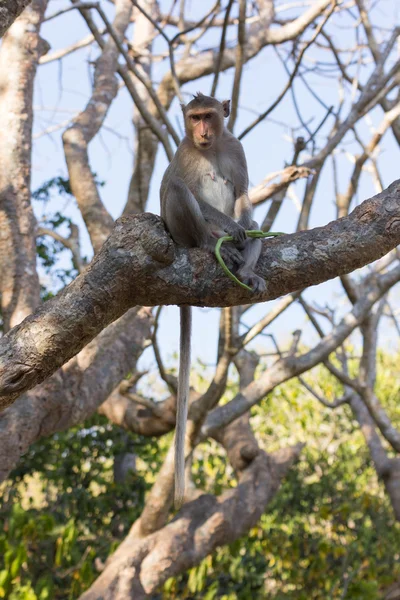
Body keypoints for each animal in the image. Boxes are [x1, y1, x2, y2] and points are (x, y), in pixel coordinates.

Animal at [159, 92, 266, 506]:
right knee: (177, 190)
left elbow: (242, 194)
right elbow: (178, 185)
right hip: (179, 233)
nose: (202, 131)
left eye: (209, 116)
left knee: (254, 224)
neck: (211, 147)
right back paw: (210, 243)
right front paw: (230, 229)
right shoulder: (184, 150)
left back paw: (247, 268)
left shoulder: (235, 147)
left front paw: (243, 228)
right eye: (194, 118)